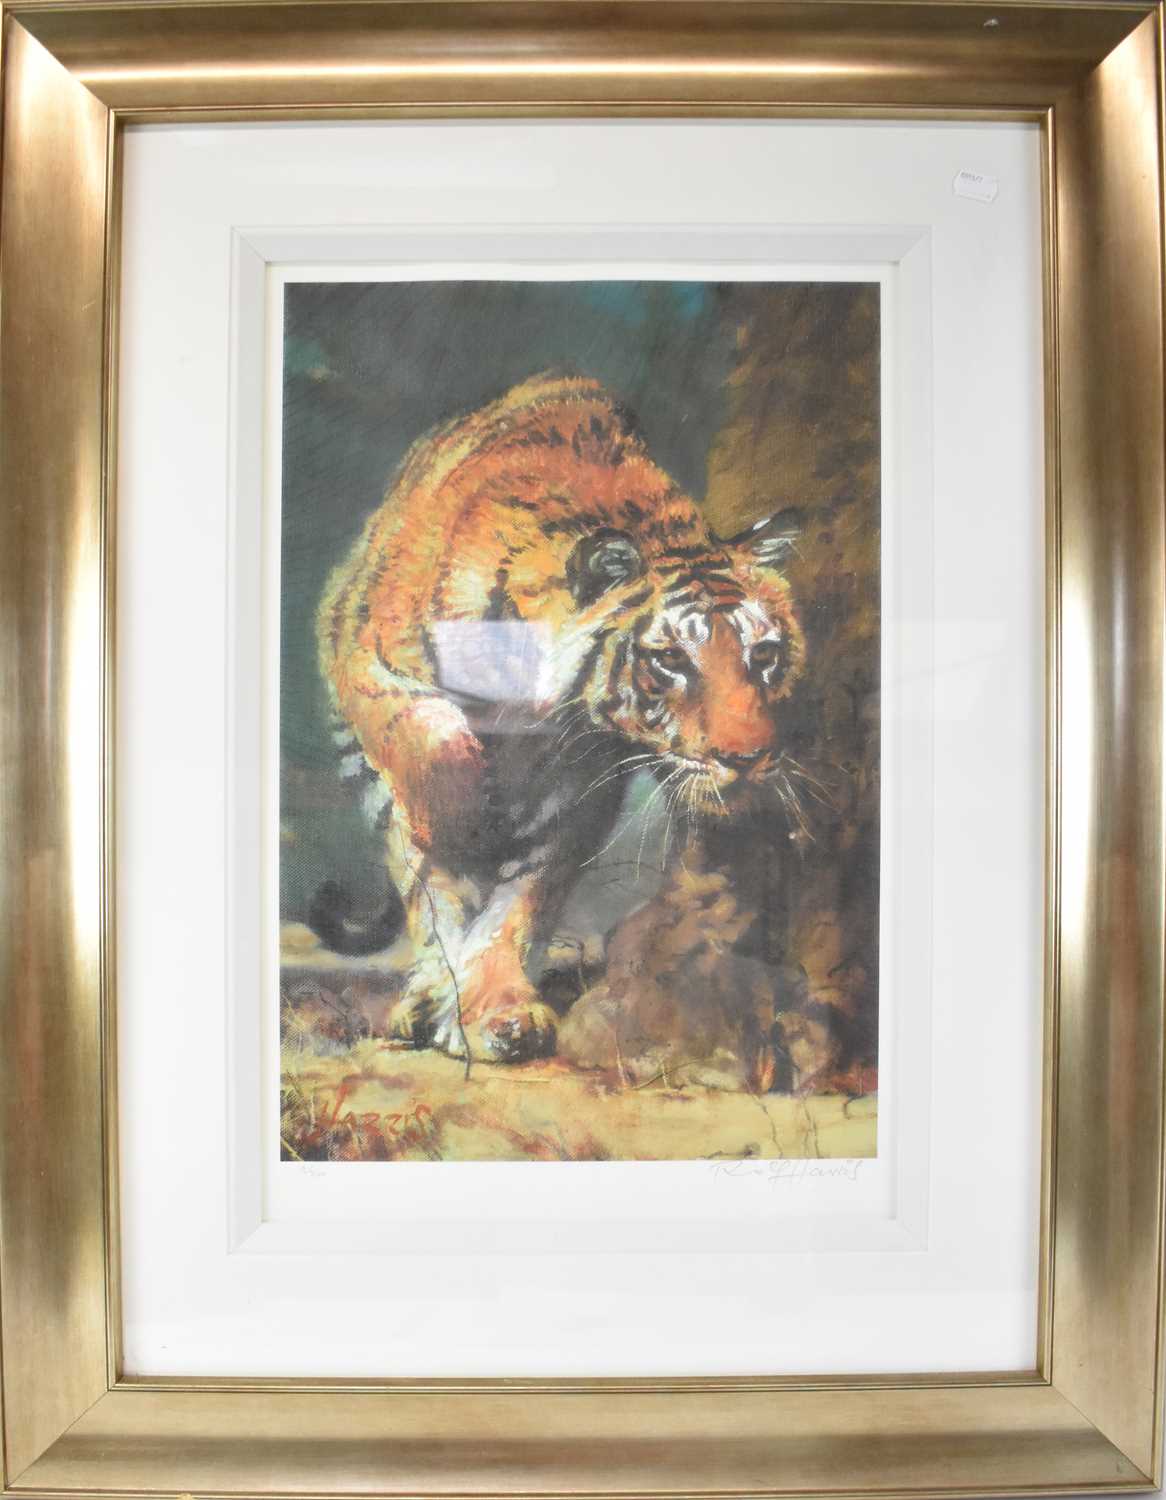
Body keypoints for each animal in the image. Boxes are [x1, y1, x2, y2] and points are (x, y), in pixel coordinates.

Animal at [317, 372, 805, 1064]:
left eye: (763, 656)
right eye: (670, 659)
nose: (748, 759)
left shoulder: (579, 784)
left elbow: (523, 898)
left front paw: (502, 1013)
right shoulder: (376, 666)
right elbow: (439, 761)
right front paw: (464, 822)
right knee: (421, 883)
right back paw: (426, 994)